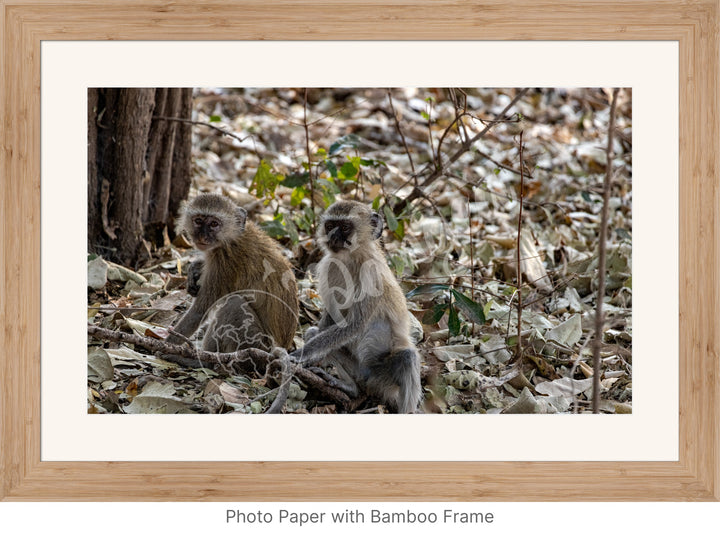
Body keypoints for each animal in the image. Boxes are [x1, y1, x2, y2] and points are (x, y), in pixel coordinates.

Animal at [167, 194, 298, 356]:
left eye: (214, 224)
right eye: (198, 221)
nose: (202, 237)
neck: (231, 237)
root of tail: (282, 348)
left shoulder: (224, 263)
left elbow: (199, 312)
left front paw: (166, 344)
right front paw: (195, 269)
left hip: (254, 343)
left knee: (233, 304)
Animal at [288, 199, 420, 412]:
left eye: (345, 227)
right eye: (330, 226)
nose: (332, 236)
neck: (351, 259)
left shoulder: (371, 275)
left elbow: (354, 325)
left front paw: (301, 354)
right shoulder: (330, 265)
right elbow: (332, 319)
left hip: (384, 378)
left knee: (407, 357)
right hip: (359, 371)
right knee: (315, 333)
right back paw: (350, 387)